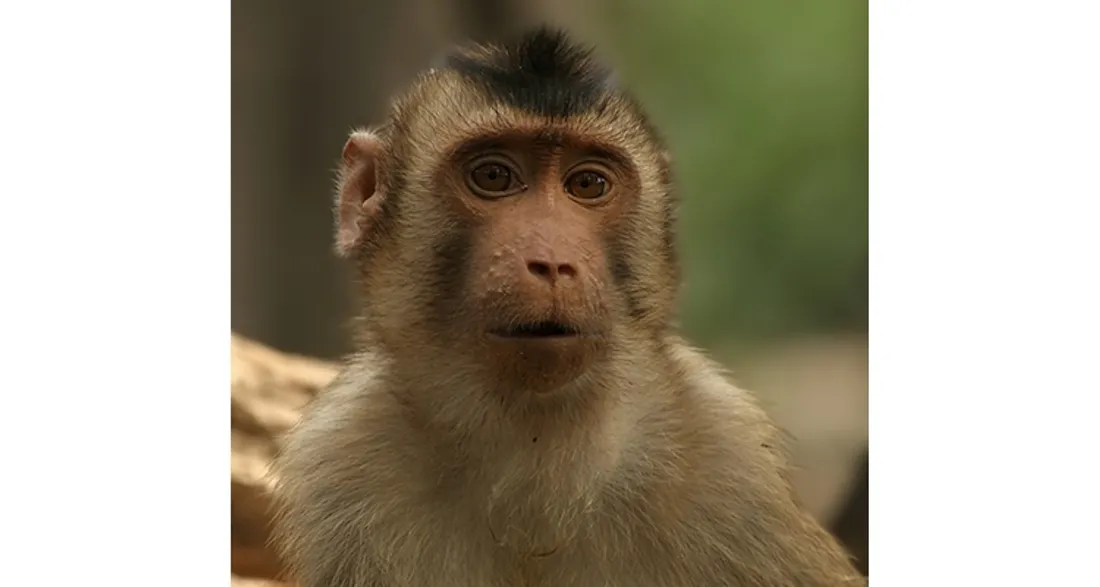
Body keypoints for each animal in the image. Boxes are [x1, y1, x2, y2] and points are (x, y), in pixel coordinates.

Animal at [270, 26, 866, 587]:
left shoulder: (735, 456)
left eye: (588, 184)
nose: (553, 262)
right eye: (493, 176)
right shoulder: (341, 464)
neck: (537, 449)